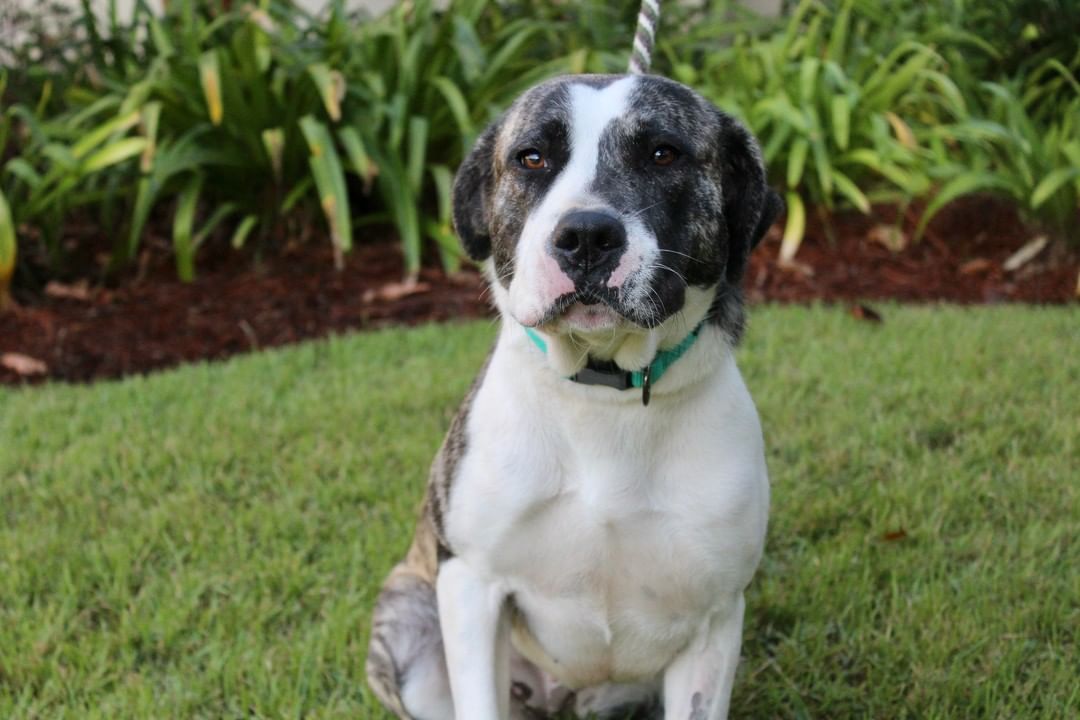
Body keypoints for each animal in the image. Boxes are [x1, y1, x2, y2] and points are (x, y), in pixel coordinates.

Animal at [367, 73, 781, 720]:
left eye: (663, 153)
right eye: (531, 158)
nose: (586, 235)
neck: (604, 393)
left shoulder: (714, 619)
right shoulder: (471, 586)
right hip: (411, 627)